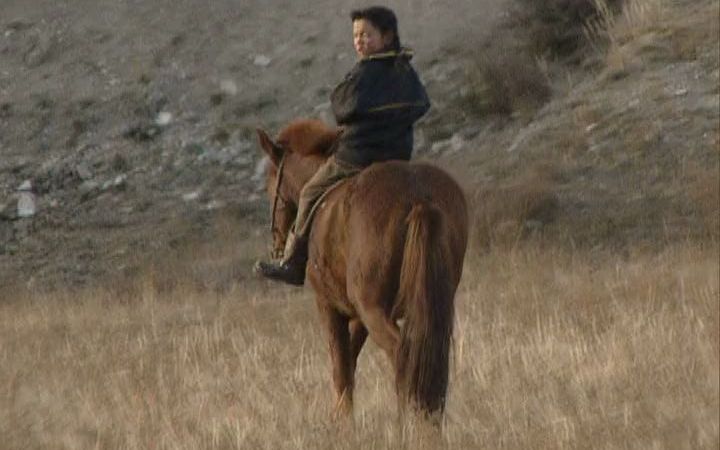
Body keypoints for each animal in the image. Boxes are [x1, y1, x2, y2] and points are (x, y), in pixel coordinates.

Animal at [256, 118, 470, 418]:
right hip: (429, 306)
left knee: (402, 356)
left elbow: (341, 369)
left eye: (270, 183)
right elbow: (350, 364)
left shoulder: (329, 306)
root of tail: (419, 196)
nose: (276, 243)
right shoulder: (358, 316)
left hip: (374, 310)